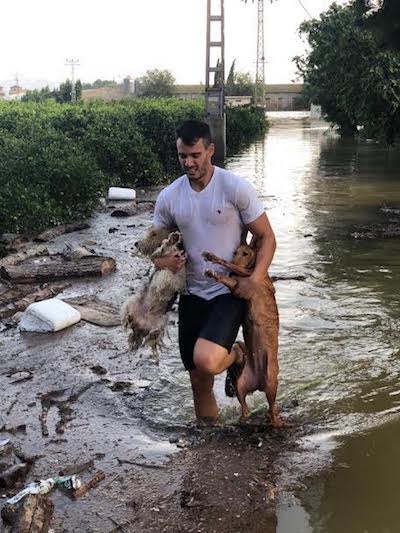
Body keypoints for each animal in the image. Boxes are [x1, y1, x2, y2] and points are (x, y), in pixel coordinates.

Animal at [203, 246, 282, 428]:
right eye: (235, 252)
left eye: (246, 254)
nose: (235, 259)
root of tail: (258, 384)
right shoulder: (236, 284)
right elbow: (228, 274)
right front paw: (213, 270)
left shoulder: (241, 284)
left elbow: (228, 266)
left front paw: (213, 260)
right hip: (240, 385)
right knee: (246, 408)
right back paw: (243, 419)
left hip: (271, 382)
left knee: (272, 408)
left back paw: (275, 420)